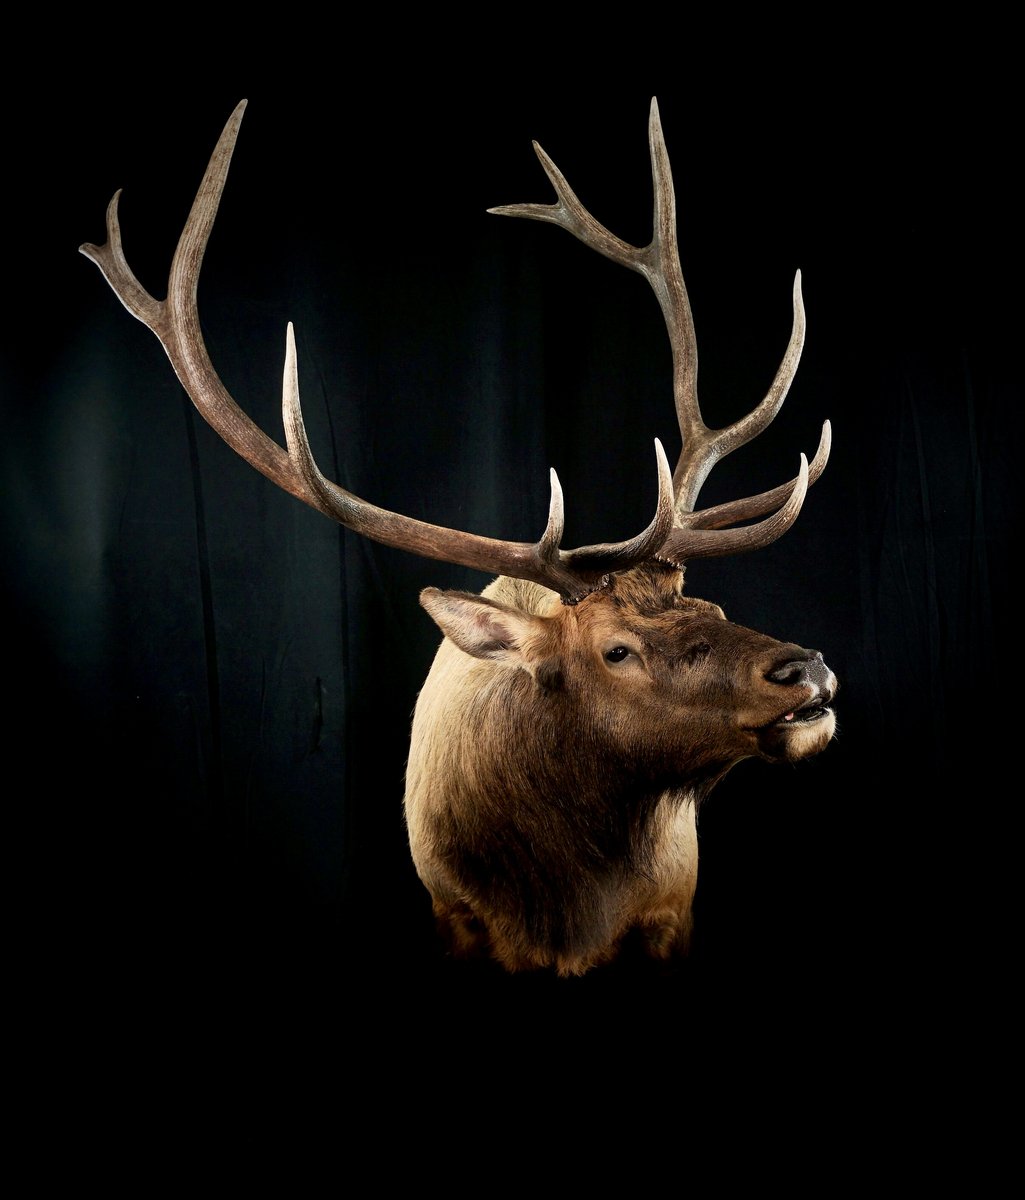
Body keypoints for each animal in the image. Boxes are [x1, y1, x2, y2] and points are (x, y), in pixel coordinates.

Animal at [81, 97, 837, 977]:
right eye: (614, 650)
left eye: (712, 609)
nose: (804, 667)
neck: (561, 913)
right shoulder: (452, 911)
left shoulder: (670, 914)